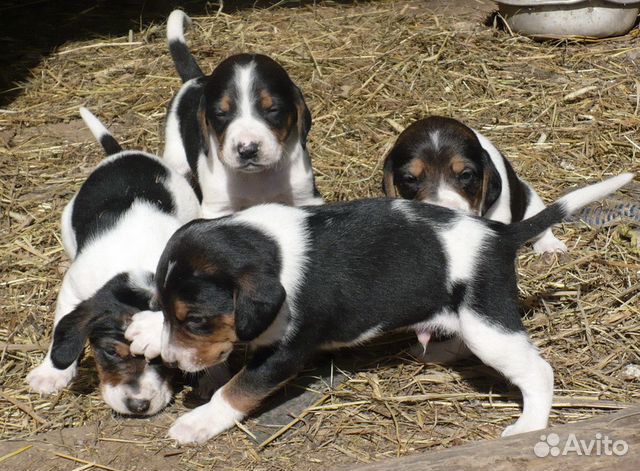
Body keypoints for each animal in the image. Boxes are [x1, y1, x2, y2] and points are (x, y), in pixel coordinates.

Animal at [26, 108, 200, 416]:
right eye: (110, 352)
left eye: (167, 361)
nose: (139, 406)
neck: (140, 262)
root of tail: (124, 153)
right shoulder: (73, 287)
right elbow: (61, 324)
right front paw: (51, 373)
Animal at [126, 172, 636, 442]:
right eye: (170, 312)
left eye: (197, 321)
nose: (173, 359)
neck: (269, 249)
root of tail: (500, 236)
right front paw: (148, 330)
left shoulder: (286, 354)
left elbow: (237, 389)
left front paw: (198, 422)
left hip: (488, 326)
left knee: (539, 372)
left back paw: (530, 424)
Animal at [162, 10, 322, 218]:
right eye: (220, 113)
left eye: (272, 110)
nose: (248, 150)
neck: (257, 178)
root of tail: (195, 79)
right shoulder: (218, 209)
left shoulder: (306, 198)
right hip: (175, 156)